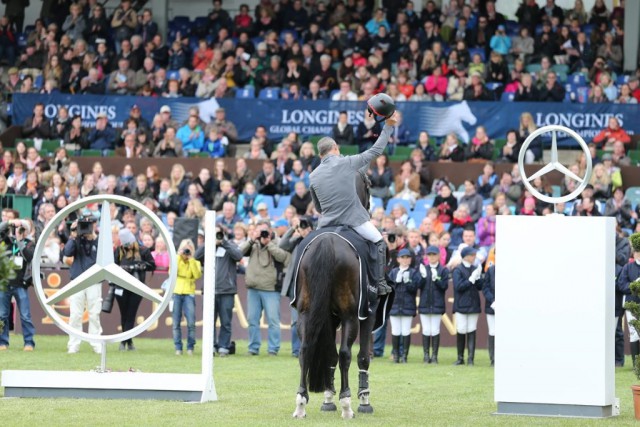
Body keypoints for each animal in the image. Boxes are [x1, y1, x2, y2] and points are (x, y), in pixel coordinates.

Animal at [292, 172, 378, 420]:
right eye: (368, 185)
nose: (369, 208)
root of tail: (327, 242)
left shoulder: (328, 317)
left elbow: (328, 355)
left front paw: (328, 399)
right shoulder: (367, 314)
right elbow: (361, 356)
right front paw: (363, 400)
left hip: (306, 313)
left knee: (305, 350)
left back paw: (301, 403)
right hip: (350, 316)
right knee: (345, 353)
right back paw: (347, 404)